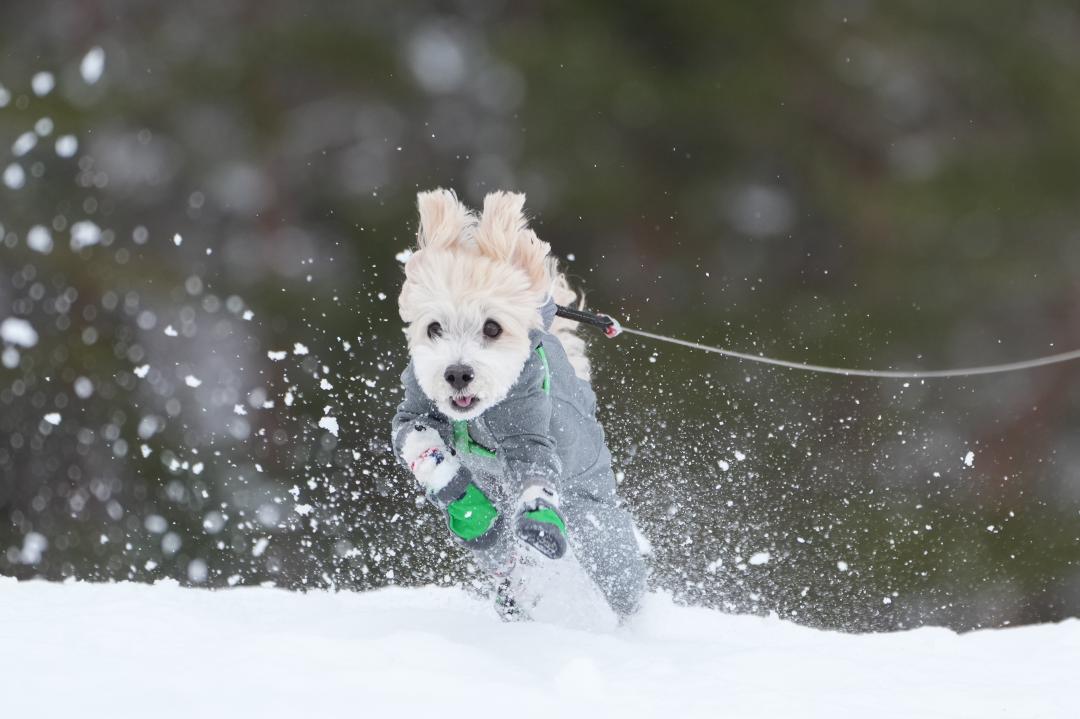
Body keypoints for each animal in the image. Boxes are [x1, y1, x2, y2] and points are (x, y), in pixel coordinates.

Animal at [395, 187, 639, 617]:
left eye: (493, 328)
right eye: (434, 327)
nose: (457, 373)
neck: (477, 416)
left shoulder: (527, 419)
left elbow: (535, 464)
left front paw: (539, 521)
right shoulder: (414, 405)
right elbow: (417, 438)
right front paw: (459, 494)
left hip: (595, 510)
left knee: (615, 560)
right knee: (500, 555)